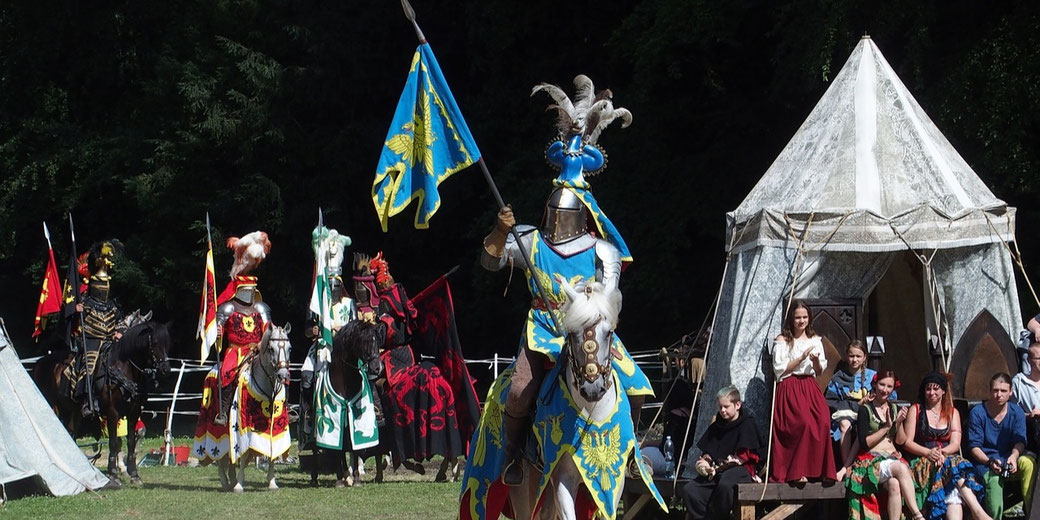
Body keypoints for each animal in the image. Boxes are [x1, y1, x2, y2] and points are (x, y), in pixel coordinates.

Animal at [218, 322, 293, 488]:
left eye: (289, 348)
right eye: (271, 348)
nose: (283, 375)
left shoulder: (276, 424)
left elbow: (273, 451)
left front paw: (272, 481)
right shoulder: (245, 426)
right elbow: (244, 453)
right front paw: (239, 484)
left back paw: (231, 477)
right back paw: (226, 480)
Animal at [312, 320, 386, 486]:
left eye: (378, 341)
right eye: (365, 341)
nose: (377, 368)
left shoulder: (354, 416)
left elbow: (353, 447)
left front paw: (356, 478)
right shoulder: (336, 415)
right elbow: (339, 448)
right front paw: (341, 478)